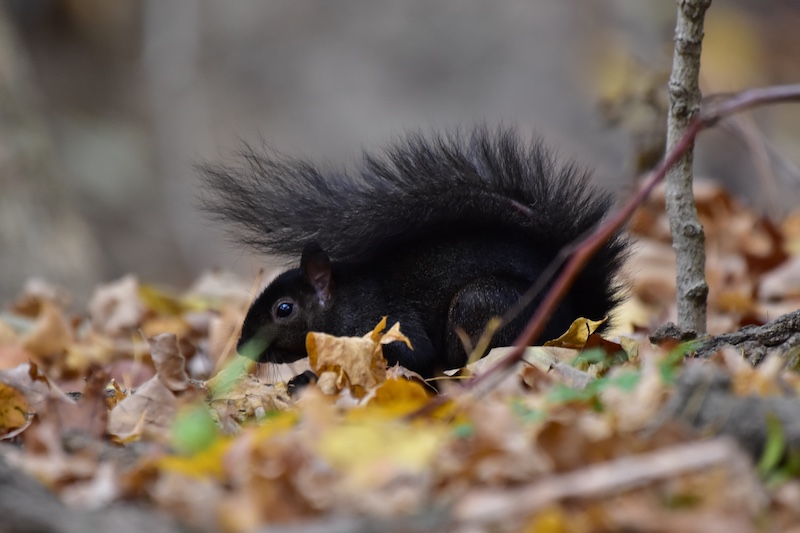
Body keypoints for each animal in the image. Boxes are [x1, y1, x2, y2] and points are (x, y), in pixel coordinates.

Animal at [201, 127, 627, 378]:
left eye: (284, 309)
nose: (240, 347)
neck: (345, 304)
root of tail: (578, 318)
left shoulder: (390, 325)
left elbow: (412, 357)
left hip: (481, 305)